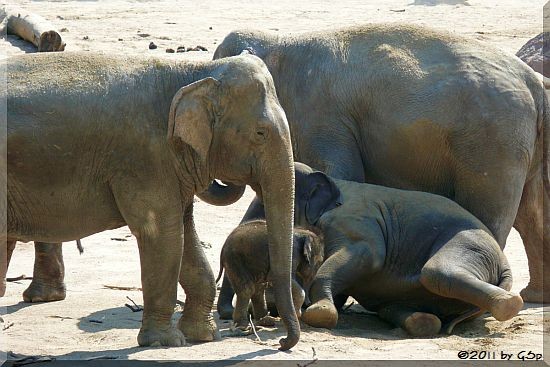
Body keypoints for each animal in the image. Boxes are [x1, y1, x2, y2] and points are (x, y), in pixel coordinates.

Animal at [1, 51, 302, 350]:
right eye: (261, 133)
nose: (281, 342)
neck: (191, 72)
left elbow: (185, 234)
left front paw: (203, 336)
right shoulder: (146, 159)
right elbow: (164, 236)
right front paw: (165, 342)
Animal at [213, 23, 548, 310]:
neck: (280, 42)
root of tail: (534, 82)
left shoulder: (323, 118)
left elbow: (340, 175)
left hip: (491, 143)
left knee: (492, 212)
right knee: (532, 214)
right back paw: (534, 296)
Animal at [294, 164, 528, 336]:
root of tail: (504, 265)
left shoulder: (351, 219)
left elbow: (370, 254)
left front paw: (320, 313)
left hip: (471, 247)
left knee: (435, 273)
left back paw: (508, 303)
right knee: (393, 306)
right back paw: (423, 322)